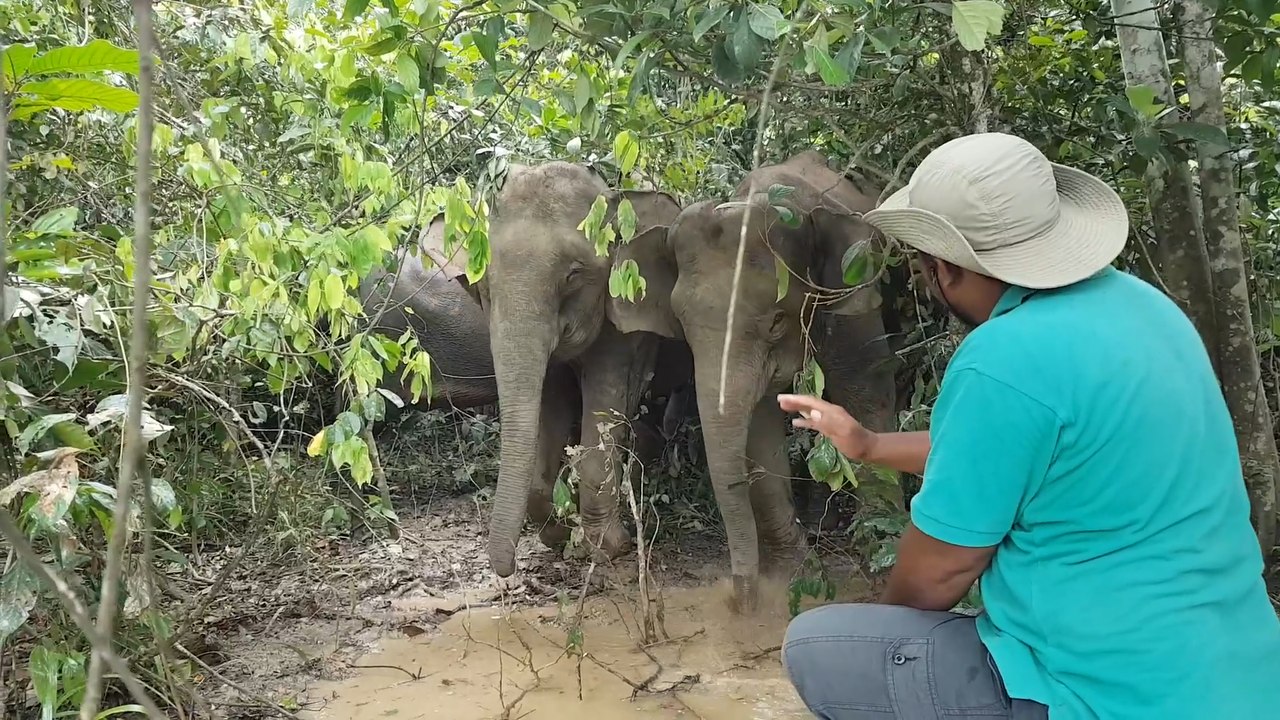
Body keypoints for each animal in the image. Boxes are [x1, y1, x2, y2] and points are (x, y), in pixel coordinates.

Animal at [421, 161, 688, 578]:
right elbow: (551, 402)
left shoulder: (627, 316)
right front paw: (559, 534)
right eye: (484, 280)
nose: (509, 568)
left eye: (573, 274)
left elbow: (607, 398)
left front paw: (608, 547)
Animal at [626, 150, 899, 610]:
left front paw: (879, 544)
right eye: (682, 325)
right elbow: (759, 428)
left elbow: (867, 390)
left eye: (775, 321)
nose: (740, 600)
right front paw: (794, 574)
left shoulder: (851, 297)